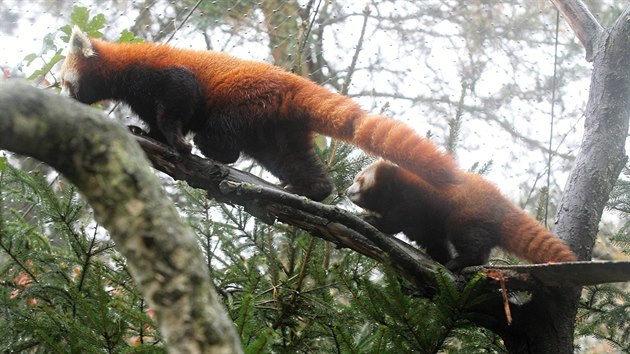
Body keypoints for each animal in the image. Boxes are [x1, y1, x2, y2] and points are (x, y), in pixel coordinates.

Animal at [59, 26, 460, 201]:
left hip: (245, 102)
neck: (123, 69)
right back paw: (311, 188)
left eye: (65, 82)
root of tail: (292, 81)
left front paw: (177, 142)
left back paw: (213, 149)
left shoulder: (163, 75)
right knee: (291, 159)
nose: (63, 98)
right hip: (276, 131)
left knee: (225, 134)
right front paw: (147, 133)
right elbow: (155, 118)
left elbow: (179, 99)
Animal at [348, 160, 580, 272]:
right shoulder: (427, 222)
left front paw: (373, 221)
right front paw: (440, 258)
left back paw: (463, 261)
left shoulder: (413, 199)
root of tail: (502, 205)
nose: (346, 191)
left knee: (470, 241)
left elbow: (400, 221)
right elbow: (431, 240)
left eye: (358, 179)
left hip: (466, 215)